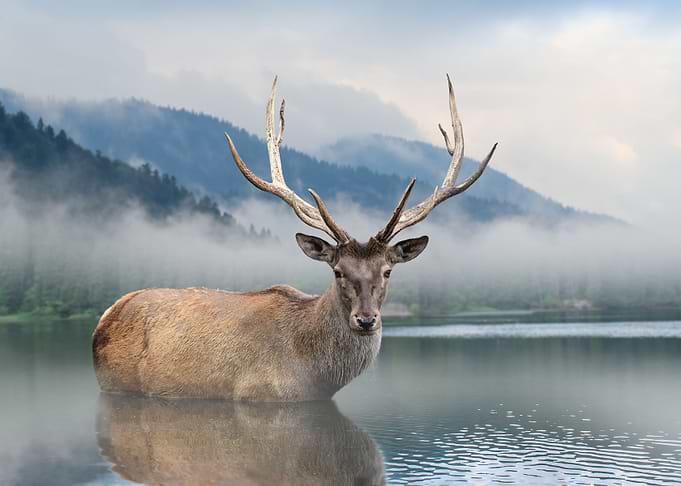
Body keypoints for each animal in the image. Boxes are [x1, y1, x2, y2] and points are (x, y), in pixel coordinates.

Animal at [92, 75, 497, 401]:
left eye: (387, 271)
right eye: (338, 271)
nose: (366, 320)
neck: (315, 377)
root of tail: (107, 315)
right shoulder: (259, 395)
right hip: (114, 382)